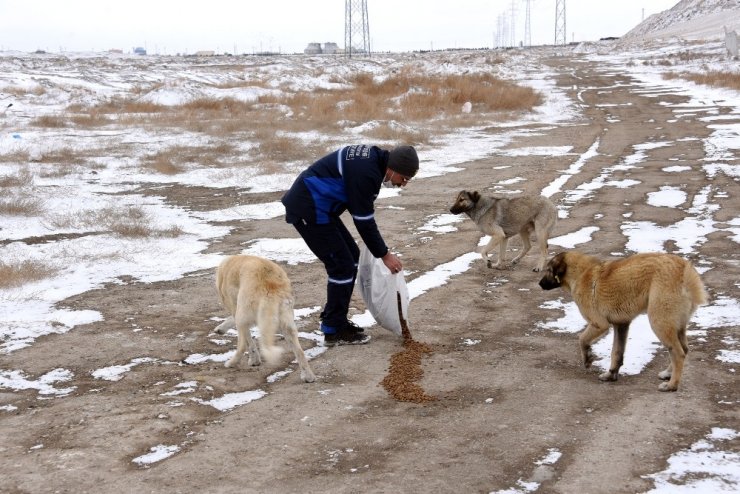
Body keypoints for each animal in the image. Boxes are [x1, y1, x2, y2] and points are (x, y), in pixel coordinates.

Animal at [215, 253, 316, 384]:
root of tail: (270, 286)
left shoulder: (237, 309)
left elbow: (248, 340)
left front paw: (254, 361)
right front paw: (220, 329)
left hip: (245, 313)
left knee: (242, 345)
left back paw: (232, 363)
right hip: (286, 319)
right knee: (299, 350)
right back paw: (308, 376)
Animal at [540, 253, 708, 392]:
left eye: (548, 269)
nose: (539, 284)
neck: (581, 273)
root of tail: (684, 270)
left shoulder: (599, 324)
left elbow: (581, 339)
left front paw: (587, 358)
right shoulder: (621, 325)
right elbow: (616, 352)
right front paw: (611, 374)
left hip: (659, 322)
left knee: (678, 353)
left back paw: (672, 385)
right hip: (677, 325)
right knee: (684, 349)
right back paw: (668, 373)